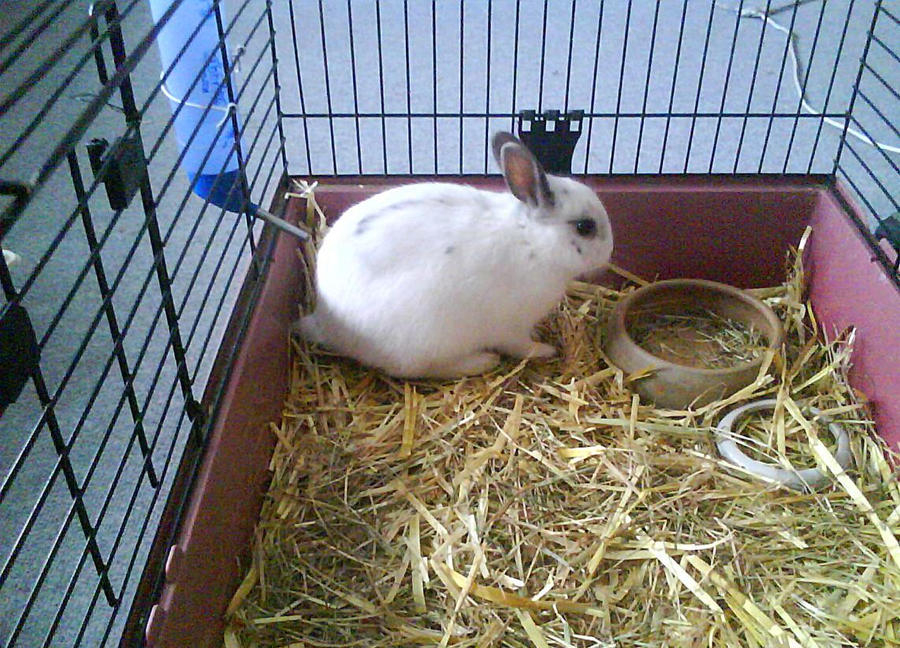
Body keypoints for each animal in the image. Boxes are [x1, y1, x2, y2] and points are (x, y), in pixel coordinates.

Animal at [296, 131, 613, 379]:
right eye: (585, 227)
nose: (609, 251)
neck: (531, 241)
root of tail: (324, 322)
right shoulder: (512, 328)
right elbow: (522, 346)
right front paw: (545, 349)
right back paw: (481, 361)